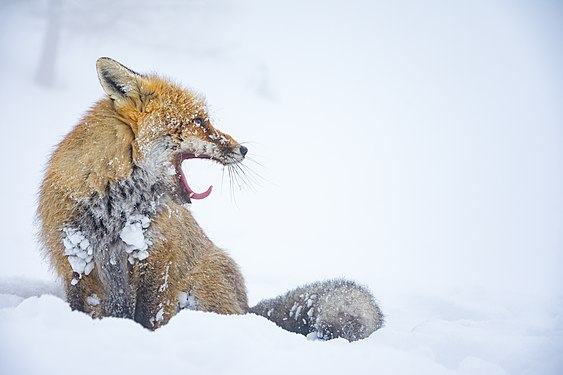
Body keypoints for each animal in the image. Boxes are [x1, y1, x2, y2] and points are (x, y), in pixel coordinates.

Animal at [37, 57, 386, 342]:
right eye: (199, 122)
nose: (244, 149)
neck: (115, 208)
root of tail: (247, 307)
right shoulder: (76, 259)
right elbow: (86, 308)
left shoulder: (156, 255)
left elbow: (147, 315)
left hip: (200, 285)